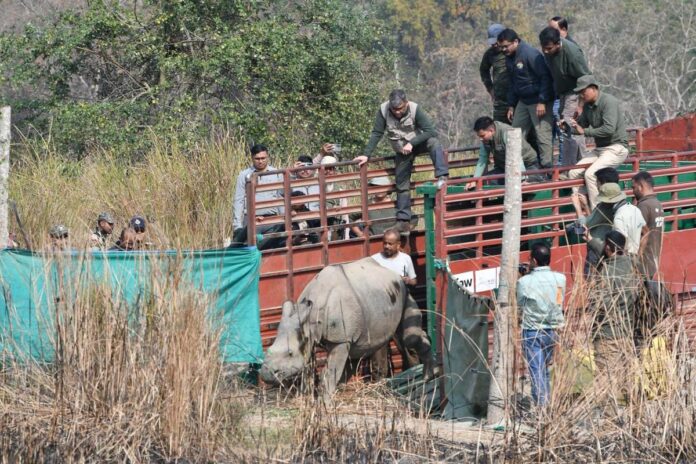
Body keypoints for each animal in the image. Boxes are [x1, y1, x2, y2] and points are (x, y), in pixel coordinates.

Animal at [260, 257, 432, 397]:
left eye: (289, 354)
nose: (266, 374)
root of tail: (394, 273)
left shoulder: (340, 339)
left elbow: (329, 373)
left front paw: (325, 406)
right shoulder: (309, 336)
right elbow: (307, 372)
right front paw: (304, 399)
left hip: (404, 291)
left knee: (409, 338)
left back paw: (425, 378)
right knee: (362, 349)